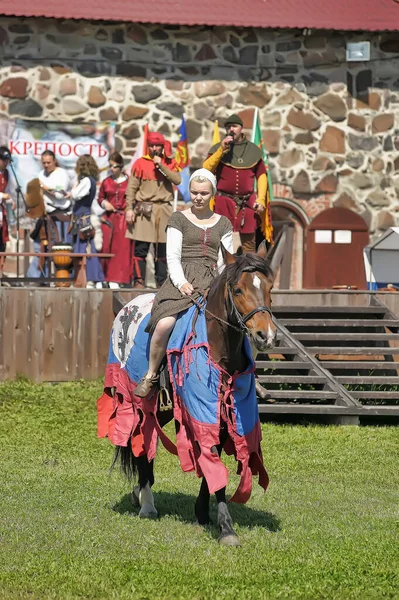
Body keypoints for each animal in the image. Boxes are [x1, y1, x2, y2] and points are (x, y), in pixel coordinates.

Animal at [100, 244, 276, 548]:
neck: (218, 346)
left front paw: (203, 511)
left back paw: (140, 493)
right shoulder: (200, 408)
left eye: (269, 287)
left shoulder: (223, 414)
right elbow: (212, 457)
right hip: (141, 402)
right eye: (238, 290)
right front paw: (226, 527)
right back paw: (147, 504)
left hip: (163, 410)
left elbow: (213, 456)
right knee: (142, 445)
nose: (266, 335)